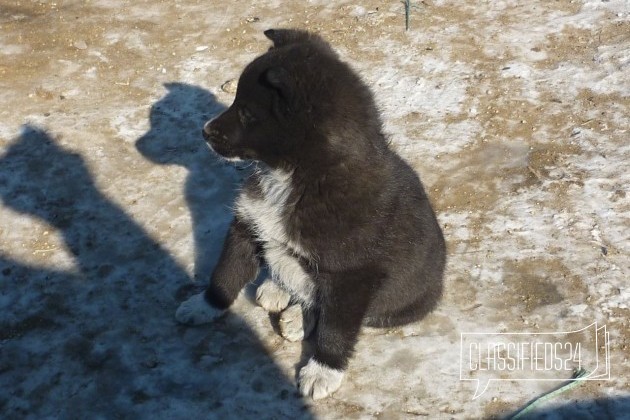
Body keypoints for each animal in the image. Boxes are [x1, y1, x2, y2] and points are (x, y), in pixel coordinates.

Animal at [175, 27, 446, 398]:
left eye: (246, 113)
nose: (205, 131)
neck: (295, 178)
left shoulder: (353, 276)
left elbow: (337, 328)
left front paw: (323, 371)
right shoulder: (246, 225)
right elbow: (225, 272)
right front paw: (205, 304)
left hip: (405, 300)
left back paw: (296, 316)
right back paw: (277, 288)